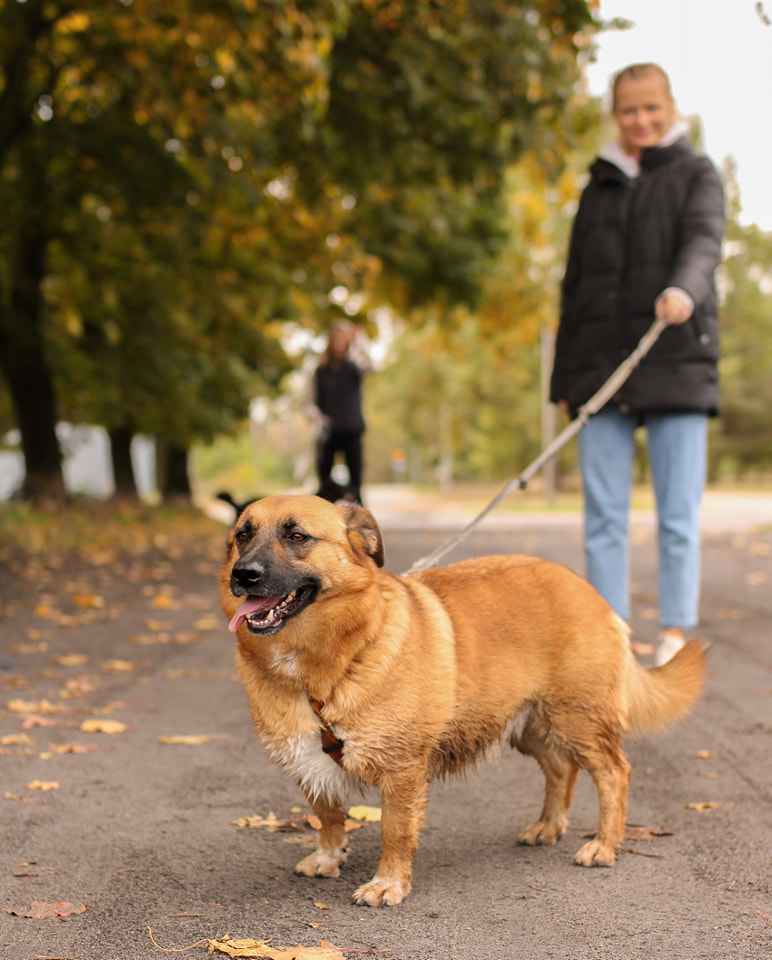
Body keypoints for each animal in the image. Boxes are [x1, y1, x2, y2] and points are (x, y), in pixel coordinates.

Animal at [219, 496, 704, 908]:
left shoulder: (402, 771)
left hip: (577, 719)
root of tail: (590, 592)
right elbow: (328, 814)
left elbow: (395, 831)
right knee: (561, 769)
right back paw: (547, 826)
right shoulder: (309, 762)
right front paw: (328, 856)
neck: (337, 655)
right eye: (243, 534)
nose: (243, 574)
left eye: (297, 536)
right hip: (529, 725)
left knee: (613, 773)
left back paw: (604, 845)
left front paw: (387, 884)